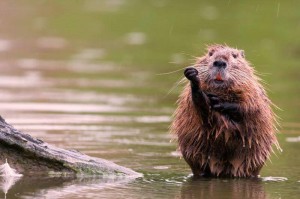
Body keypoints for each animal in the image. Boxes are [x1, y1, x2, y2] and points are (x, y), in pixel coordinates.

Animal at [171, 44, 282, 177]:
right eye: (210, 53)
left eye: (234, 55)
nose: (220, 62)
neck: (221, 91)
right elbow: (201, 109)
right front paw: (193, 77)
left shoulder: (253, 91)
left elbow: (251, 107)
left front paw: (219, 103)